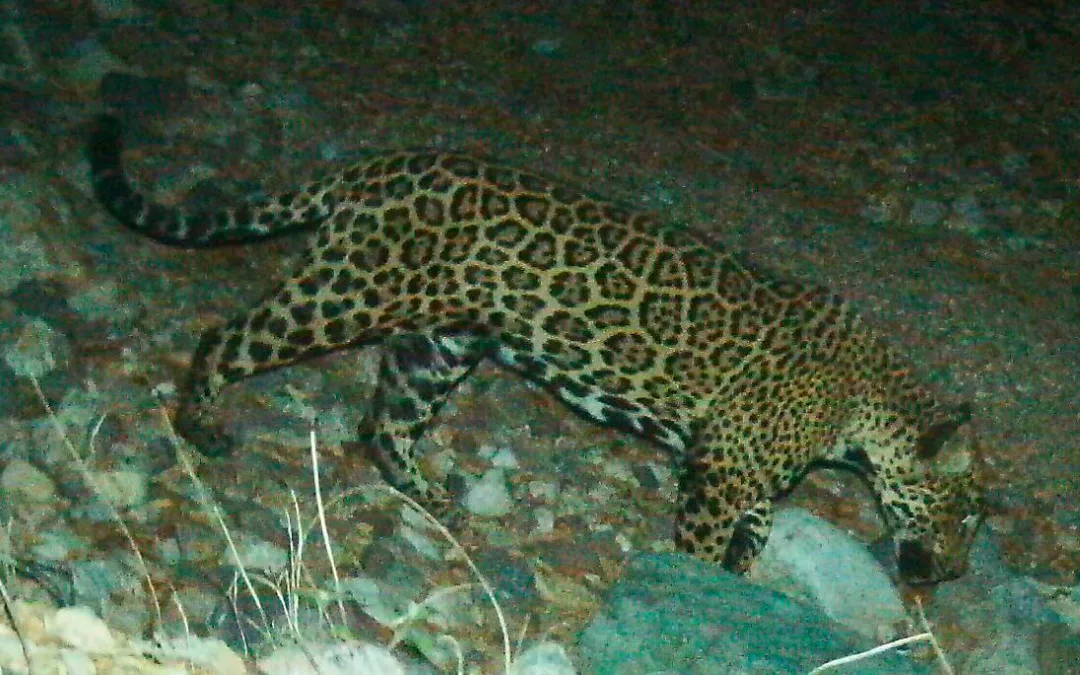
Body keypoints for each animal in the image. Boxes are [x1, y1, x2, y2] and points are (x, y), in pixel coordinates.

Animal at [87, 113, 986, 584]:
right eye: (963, 513)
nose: (951, 573)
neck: (863, 408)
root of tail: (378, 166)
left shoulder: (744, 466)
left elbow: (759, 526)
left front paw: (734, 577)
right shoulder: (722, 465)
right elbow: (707, 537)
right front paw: (695, 581)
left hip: (442, 344)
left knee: (383, 424)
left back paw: (439, 501)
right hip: (348, 293)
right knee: (231, 335)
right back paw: (201, 422)